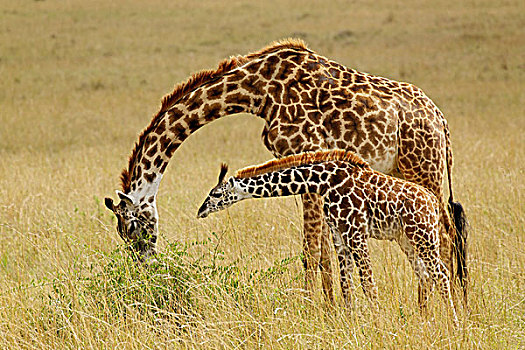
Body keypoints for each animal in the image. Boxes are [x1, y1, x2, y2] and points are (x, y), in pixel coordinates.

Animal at [103, 37, 466, 300]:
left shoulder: (308, 153)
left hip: (424, 168)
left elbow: (311, 252)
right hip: (406, 172)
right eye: (122, 233)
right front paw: (332, 310)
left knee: (446, 236)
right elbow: (323, 253)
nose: (146, 273)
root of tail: (441, 121)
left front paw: (316, 312)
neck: (256, 92)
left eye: (132, 228)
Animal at [196, 150, 454, 326]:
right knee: (425, 275)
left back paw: (454, 322)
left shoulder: (355, 231)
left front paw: (377, 323)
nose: (200, 211)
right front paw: (352, 323)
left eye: (216, 194)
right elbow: (346, 283)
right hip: (407, 239)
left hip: (423, 235)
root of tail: (432, 201)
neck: (324, 182)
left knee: (441, 273)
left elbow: (367, 282)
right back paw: (425, 319)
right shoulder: (339, 234)